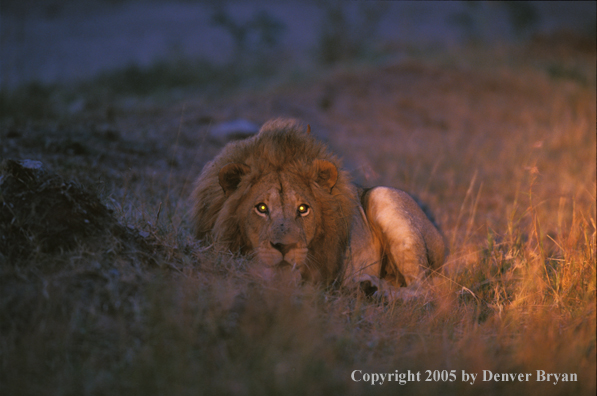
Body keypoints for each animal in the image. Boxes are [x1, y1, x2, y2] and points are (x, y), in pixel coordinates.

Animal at [190, 119, 442, 298]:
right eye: (261, 207)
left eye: (303, 209)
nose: (285, 247)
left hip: (382, 196)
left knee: (427, 290)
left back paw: (375, 290)